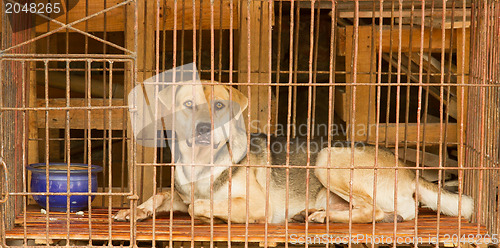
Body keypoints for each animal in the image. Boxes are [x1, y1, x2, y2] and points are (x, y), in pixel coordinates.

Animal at [115, 80, 474, 224]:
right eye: (188, 105)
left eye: (219, 105)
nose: (204, 128)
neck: (204, 163)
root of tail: (406, 167)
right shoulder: (179, 192)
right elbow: (163, 193)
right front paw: (134, 211)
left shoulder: (257, 206)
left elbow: (197, 207)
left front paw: (206, 212)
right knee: (390, 213)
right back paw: (314, 212)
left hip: (328, 158)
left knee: (377, 211)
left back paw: (324, 216)